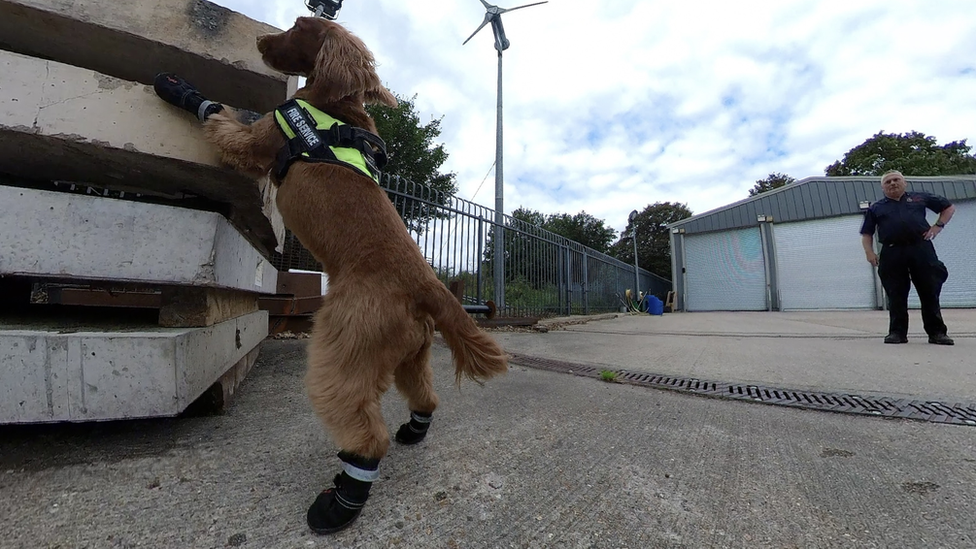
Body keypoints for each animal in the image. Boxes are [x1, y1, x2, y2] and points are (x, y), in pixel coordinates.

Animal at [197, 16, 508, 532]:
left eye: (297, 27)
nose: (261, 40)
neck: (337, 107)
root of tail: (427, 285)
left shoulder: (258, 137)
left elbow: (219, 120)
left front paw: (182, 90)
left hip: (345, 349)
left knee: (364, 433)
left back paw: (342, 499)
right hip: (411, 356)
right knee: (426, 398)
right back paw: (413, 431)